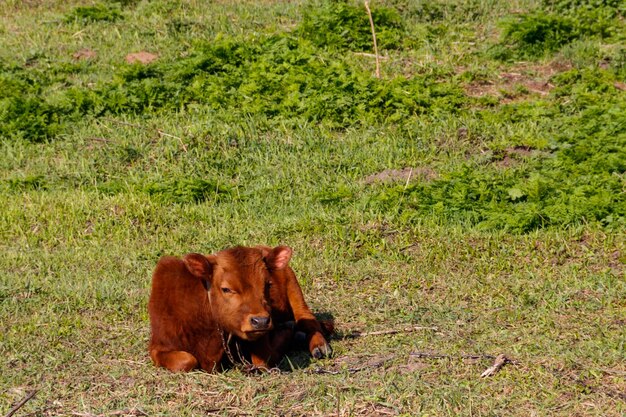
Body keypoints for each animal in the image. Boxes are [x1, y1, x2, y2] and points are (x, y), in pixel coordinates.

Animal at [147, 242, 332, 372]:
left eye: (267, 284)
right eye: (226, 289)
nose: (261, 321)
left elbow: (263, 360)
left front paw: (289, 331)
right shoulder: (157, 346)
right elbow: (186, 360)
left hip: (294, 289)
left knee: (308, 319)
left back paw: (318, 345)